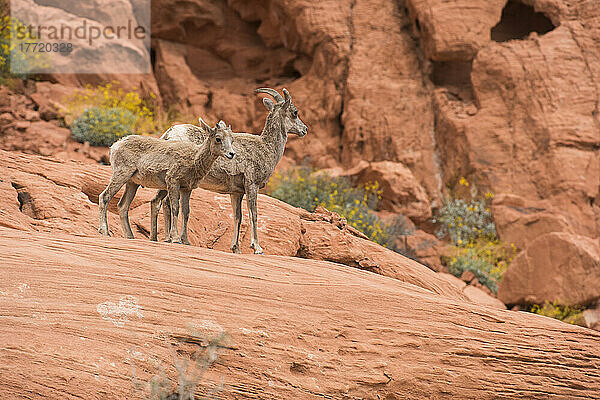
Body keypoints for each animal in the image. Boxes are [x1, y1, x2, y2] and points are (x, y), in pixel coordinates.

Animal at [98, 124, 234, 244]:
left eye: (231, 140)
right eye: (218, 138)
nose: (231, 154)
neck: (193, 159)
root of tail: (115, 146)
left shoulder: (186, 188)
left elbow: (186, 212)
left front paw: (186, 241)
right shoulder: (173, 181)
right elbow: (175, 208)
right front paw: (176, 239)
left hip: (132, 183)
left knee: (123, 206)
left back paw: (130, 236)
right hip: (121, 175)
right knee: (105, 196)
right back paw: (105, 232)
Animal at [152, 87, 308, 253]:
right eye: (295, 112)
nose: (305, 129)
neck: (266, 148)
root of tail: (169, 133)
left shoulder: (236, 192)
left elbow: (237, 217)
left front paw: (236, 248)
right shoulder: (252, 185)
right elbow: (253, 214)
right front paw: (257, 248)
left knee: (159, 202)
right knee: (168, 203)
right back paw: (172, 239)